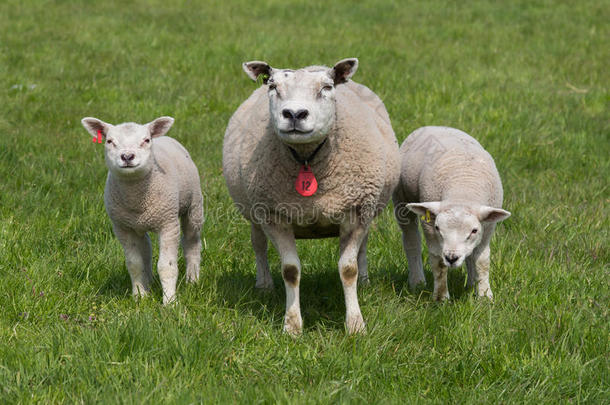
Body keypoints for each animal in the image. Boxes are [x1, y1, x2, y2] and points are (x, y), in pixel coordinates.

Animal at [79, 115, 204, 302]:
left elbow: (167, 266)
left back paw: (193, 279)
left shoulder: (168, 224)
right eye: (109, 141)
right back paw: (149, 282)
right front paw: (139, 296)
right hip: (139, 225)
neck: (136, 201)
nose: (127, 156)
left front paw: (170, 301)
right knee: (146, 247)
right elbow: (134, 264)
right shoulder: (123, 228)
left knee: (191, 241)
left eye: (146, 140)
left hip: (193, 207)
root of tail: (165, 137)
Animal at [222, 57, 400, 334]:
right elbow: (290, 271)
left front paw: (355, 325)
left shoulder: (357, 211)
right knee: (258, 244)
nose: (295, 114)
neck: (306, 158)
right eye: (272, 86)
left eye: (327, 87)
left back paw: (365, 280)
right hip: (253, 211)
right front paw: (292, 326)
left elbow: (348, 269)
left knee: (363, 247)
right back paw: (264, 285)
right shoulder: (273, 215)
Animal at [392, 126, 506, 300]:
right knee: (411, 240)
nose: (452, 258)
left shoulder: (488, 227)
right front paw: (441, 297)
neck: (463, 191)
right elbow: (438, 261)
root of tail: (433, 126)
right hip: (401, 199)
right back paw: (417, 282)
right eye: (438, 228)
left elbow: (481, 259)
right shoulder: (429, 224)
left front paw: (484, 295)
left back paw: (471, 284)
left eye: (474, 231)